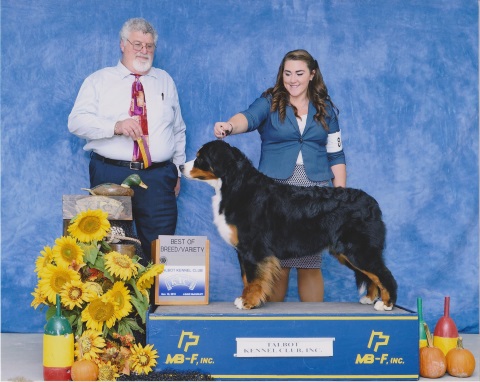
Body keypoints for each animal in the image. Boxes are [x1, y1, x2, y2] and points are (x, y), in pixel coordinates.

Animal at [180, 140, 398, 310]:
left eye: (200, 158)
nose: (180, 166)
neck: (235, 185)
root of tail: (372, 202)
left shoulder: (252, 248)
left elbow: (253, 278)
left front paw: (248, 302)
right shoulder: (244, 250)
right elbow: (246, 277)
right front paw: (245, 298)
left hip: (358, 249)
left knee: (383, 274)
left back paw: (386, 304)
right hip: (347, 251)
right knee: (373, 276)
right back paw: (369, 298)